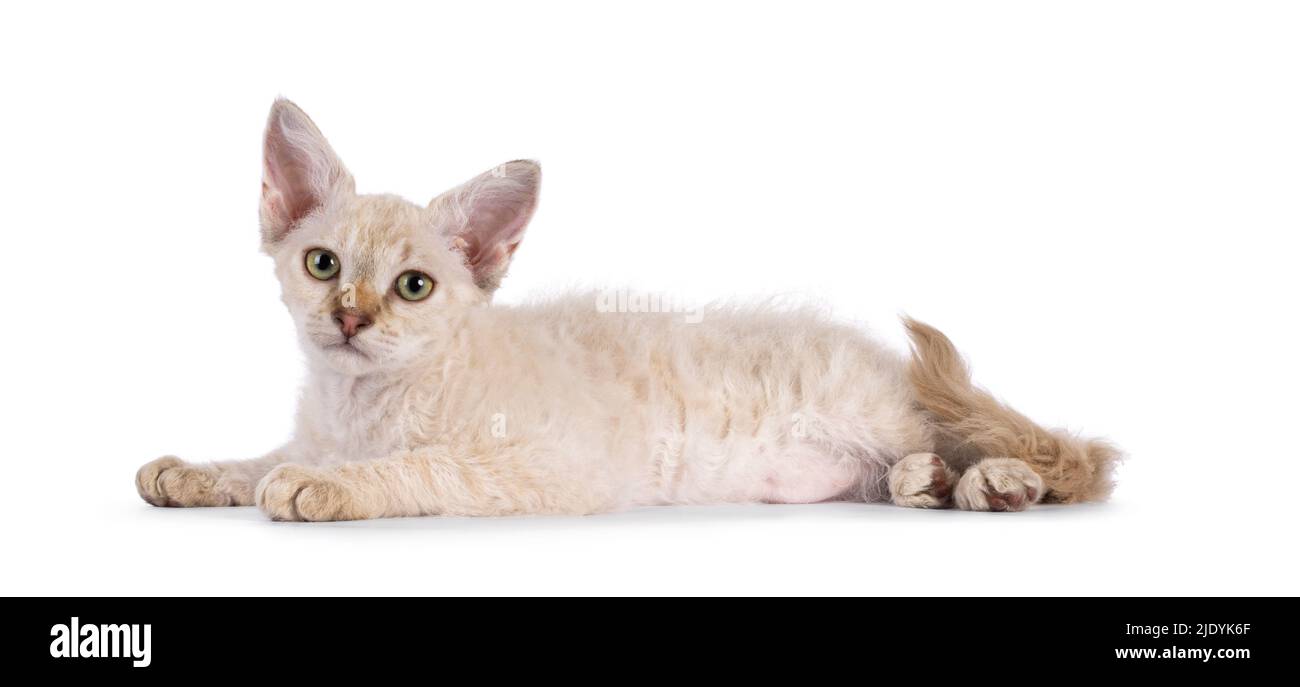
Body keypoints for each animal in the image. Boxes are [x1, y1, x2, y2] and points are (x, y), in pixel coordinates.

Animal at [137, 98, 1123, 520]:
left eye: (414, 285)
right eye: (323, 264)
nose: (351, 317)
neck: (362, 405)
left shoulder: (541, 465)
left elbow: (420, 469)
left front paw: (334, 486)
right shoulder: (315, 428)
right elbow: (260, 457)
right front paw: (197, 471)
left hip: (900, 408)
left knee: (1033, 451)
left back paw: (997, 481)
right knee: (921, 466)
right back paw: (926, 483)